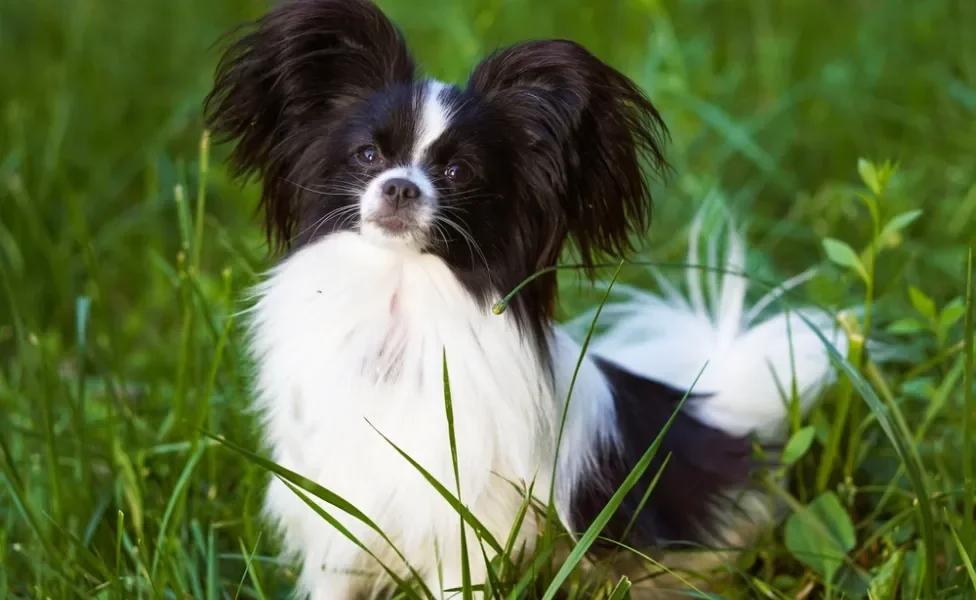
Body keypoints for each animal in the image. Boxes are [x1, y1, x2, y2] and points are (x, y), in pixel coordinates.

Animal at [206, 0, 848, 596]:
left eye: (459, 172)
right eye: (368, 155)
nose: (399, 187)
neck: (401, 301)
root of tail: (712, 412)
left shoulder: (464, 524)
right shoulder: (339, 509)